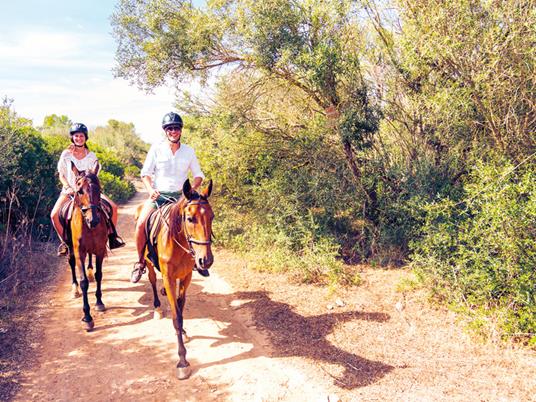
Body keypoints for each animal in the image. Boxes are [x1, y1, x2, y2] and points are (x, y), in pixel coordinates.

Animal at [66, 162, 109, 332]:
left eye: (99, 190)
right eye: (79, 191)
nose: (93, 220)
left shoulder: (100, 250)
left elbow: (99, 275)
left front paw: (99, 303)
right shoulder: (79, 252)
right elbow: (83, 281)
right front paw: (87, 318)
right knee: (71, 263)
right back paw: (74, 289)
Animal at [141, 179, 215, 380]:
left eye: (212, 217)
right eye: (190, 219)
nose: (206, 260)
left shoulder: (186, 276)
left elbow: (181, 307)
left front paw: (182, 332)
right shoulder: (169, 277)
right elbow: (176, 317)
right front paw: (182, 361)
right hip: (149, 263)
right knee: (152, 279)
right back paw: (157, 308)